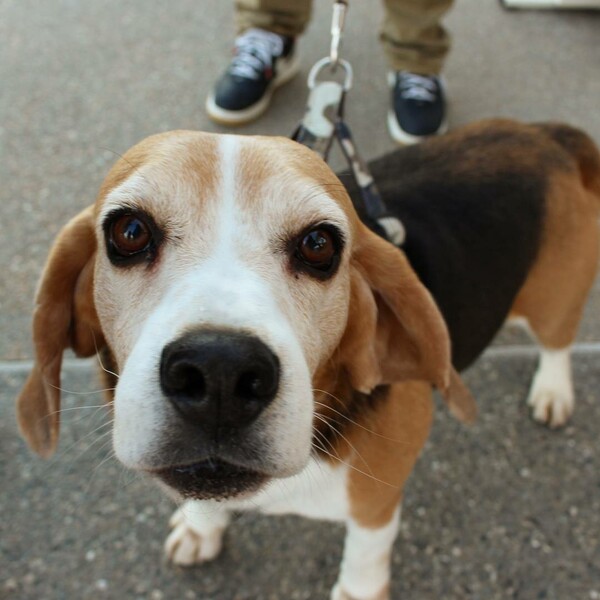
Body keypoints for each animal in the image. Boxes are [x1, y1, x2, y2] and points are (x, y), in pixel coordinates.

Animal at [16, 119, 596, 600]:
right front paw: (202, 527)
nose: (221, 372)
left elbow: (364, 560)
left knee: (557, 342)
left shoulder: (375, 505)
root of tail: (545, 135)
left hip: (553, 302)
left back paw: (553, 389)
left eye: (319, 244)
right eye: (129, 232)